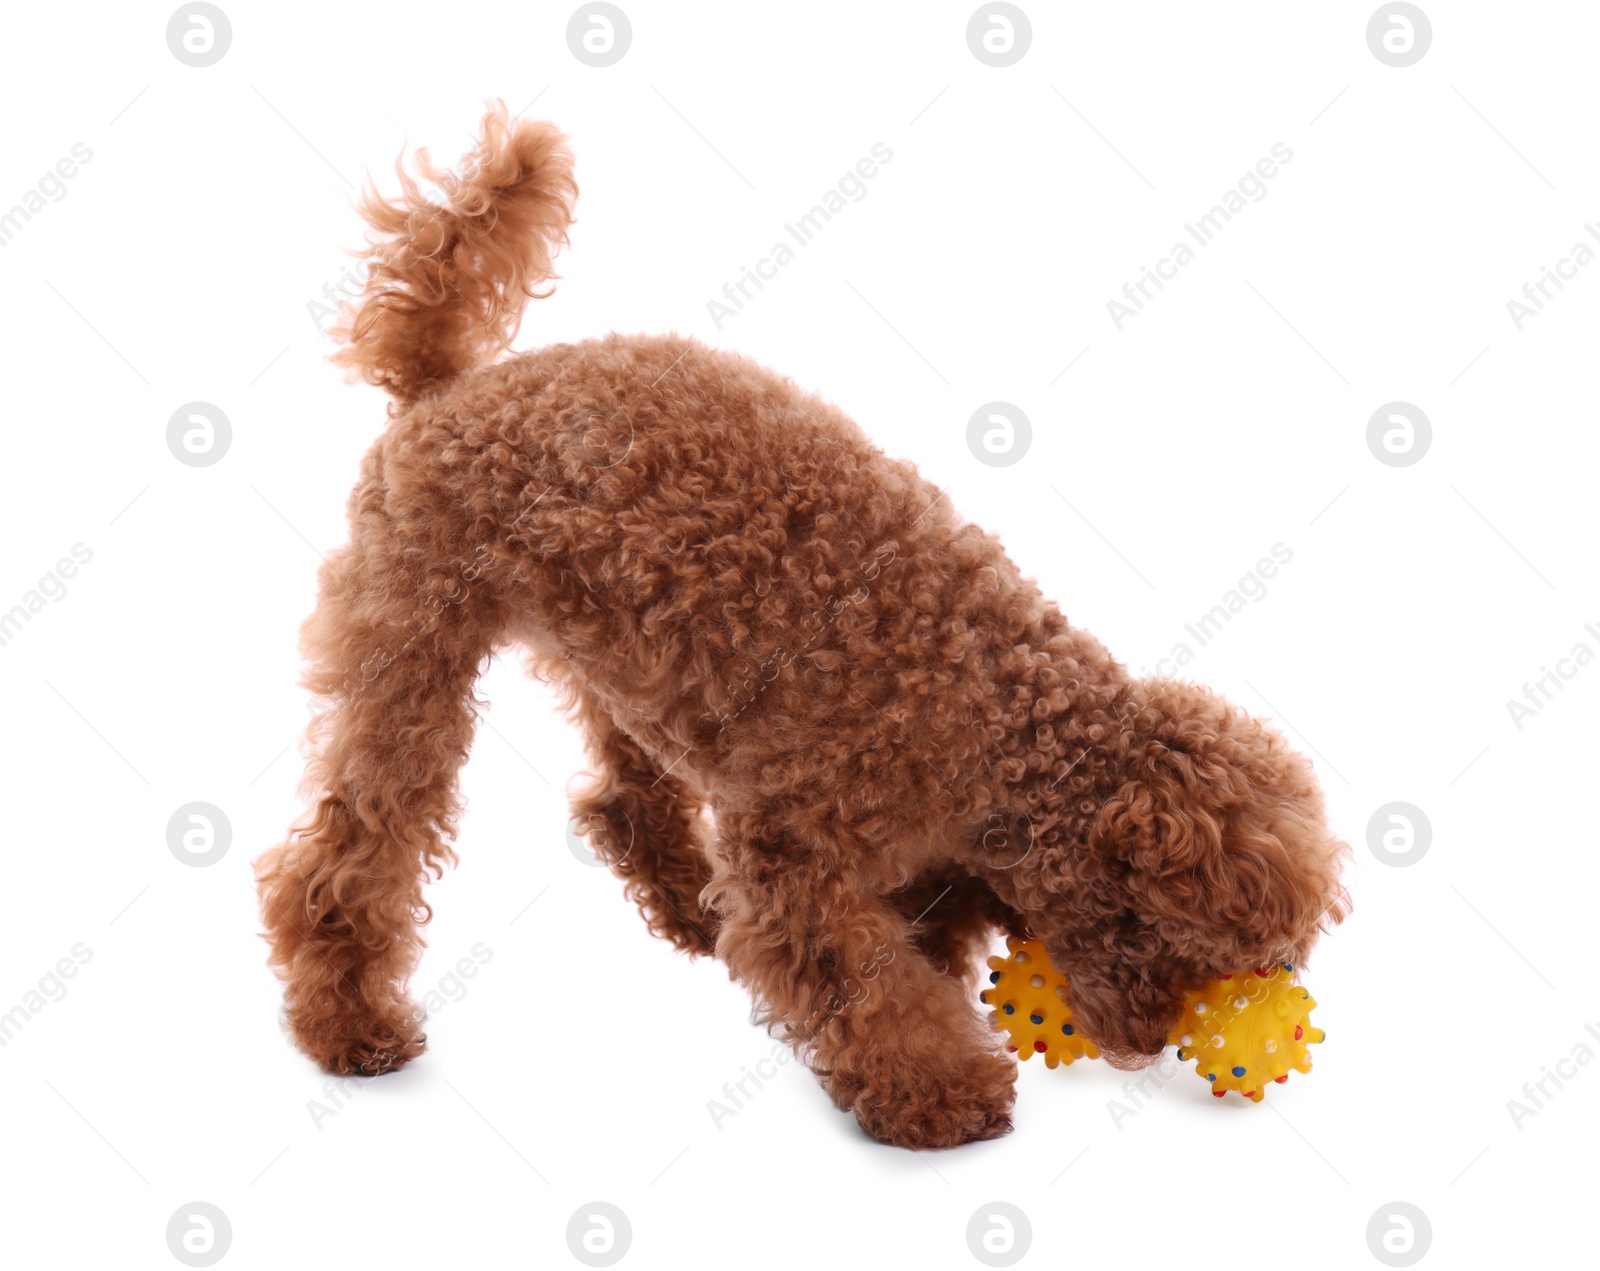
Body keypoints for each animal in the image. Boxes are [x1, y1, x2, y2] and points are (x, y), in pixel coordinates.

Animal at [259, 101, 1350, 1146]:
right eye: (1182, 945)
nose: (1154, 1039)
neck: (993, 713)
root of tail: (448, 385)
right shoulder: (797, 855)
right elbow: (861, 980)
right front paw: (940, 1091)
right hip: (413, 647)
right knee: (354, 844)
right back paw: (349, 1019)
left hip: (613, 652)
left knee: (622, 795)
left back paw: (683, 900)